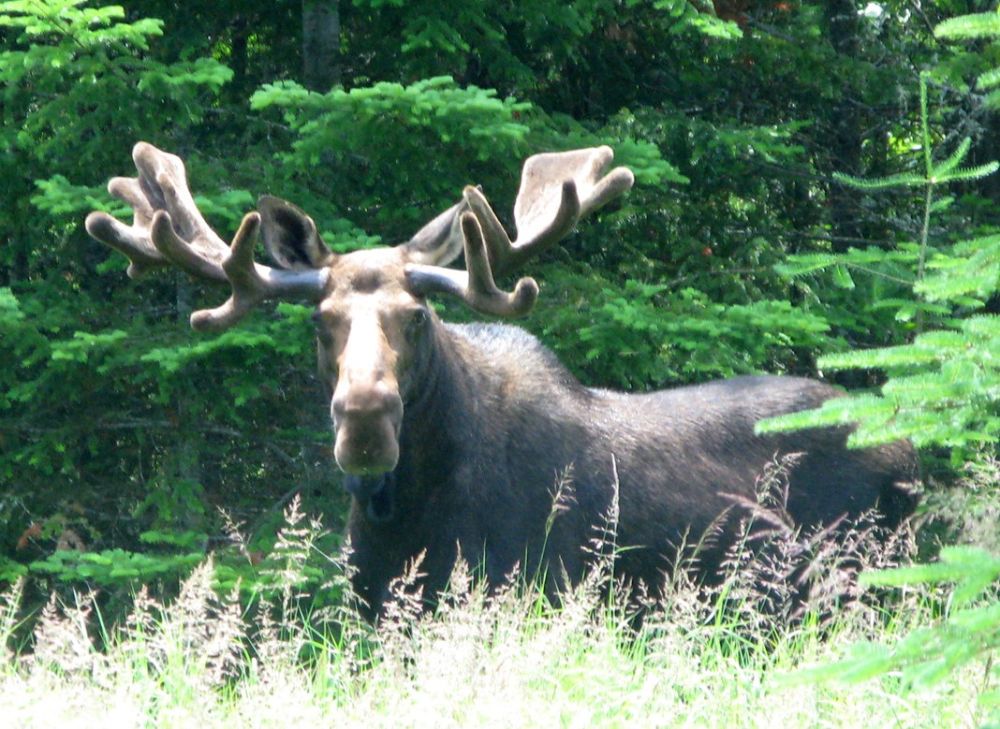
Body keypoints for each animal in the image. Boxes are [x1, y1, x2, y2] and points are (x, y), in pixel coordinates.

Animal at [85, 142, 918, 620]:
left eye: (417, 315)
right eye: (320, 318)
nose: (365, 419)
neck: (406, 512)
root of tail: (915, 453)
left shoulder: (523, 592)